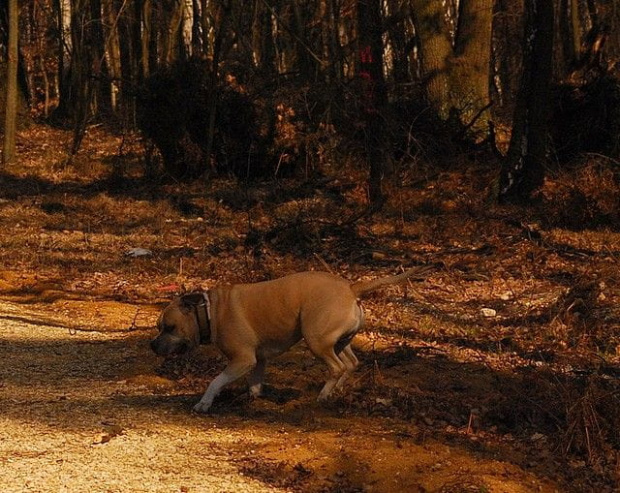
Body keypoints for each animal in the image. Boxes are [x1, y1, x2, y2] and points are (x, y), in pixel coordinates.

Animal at [153, 266, 428, 412]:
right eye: (159, 328)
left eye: (170, 327)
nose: (152, 344)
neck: (209, 312)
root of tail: (350, 288)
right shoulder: (257, 360)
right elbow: (254, 383)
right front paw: (252, 398)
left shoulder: (242, 360)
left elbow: (215, 381)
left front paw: (204, 403)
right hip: (339, 342)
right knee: (351, 363)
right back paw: (337, 391)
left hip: (316, 340)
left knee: (337, 367)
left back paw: (323, 396)